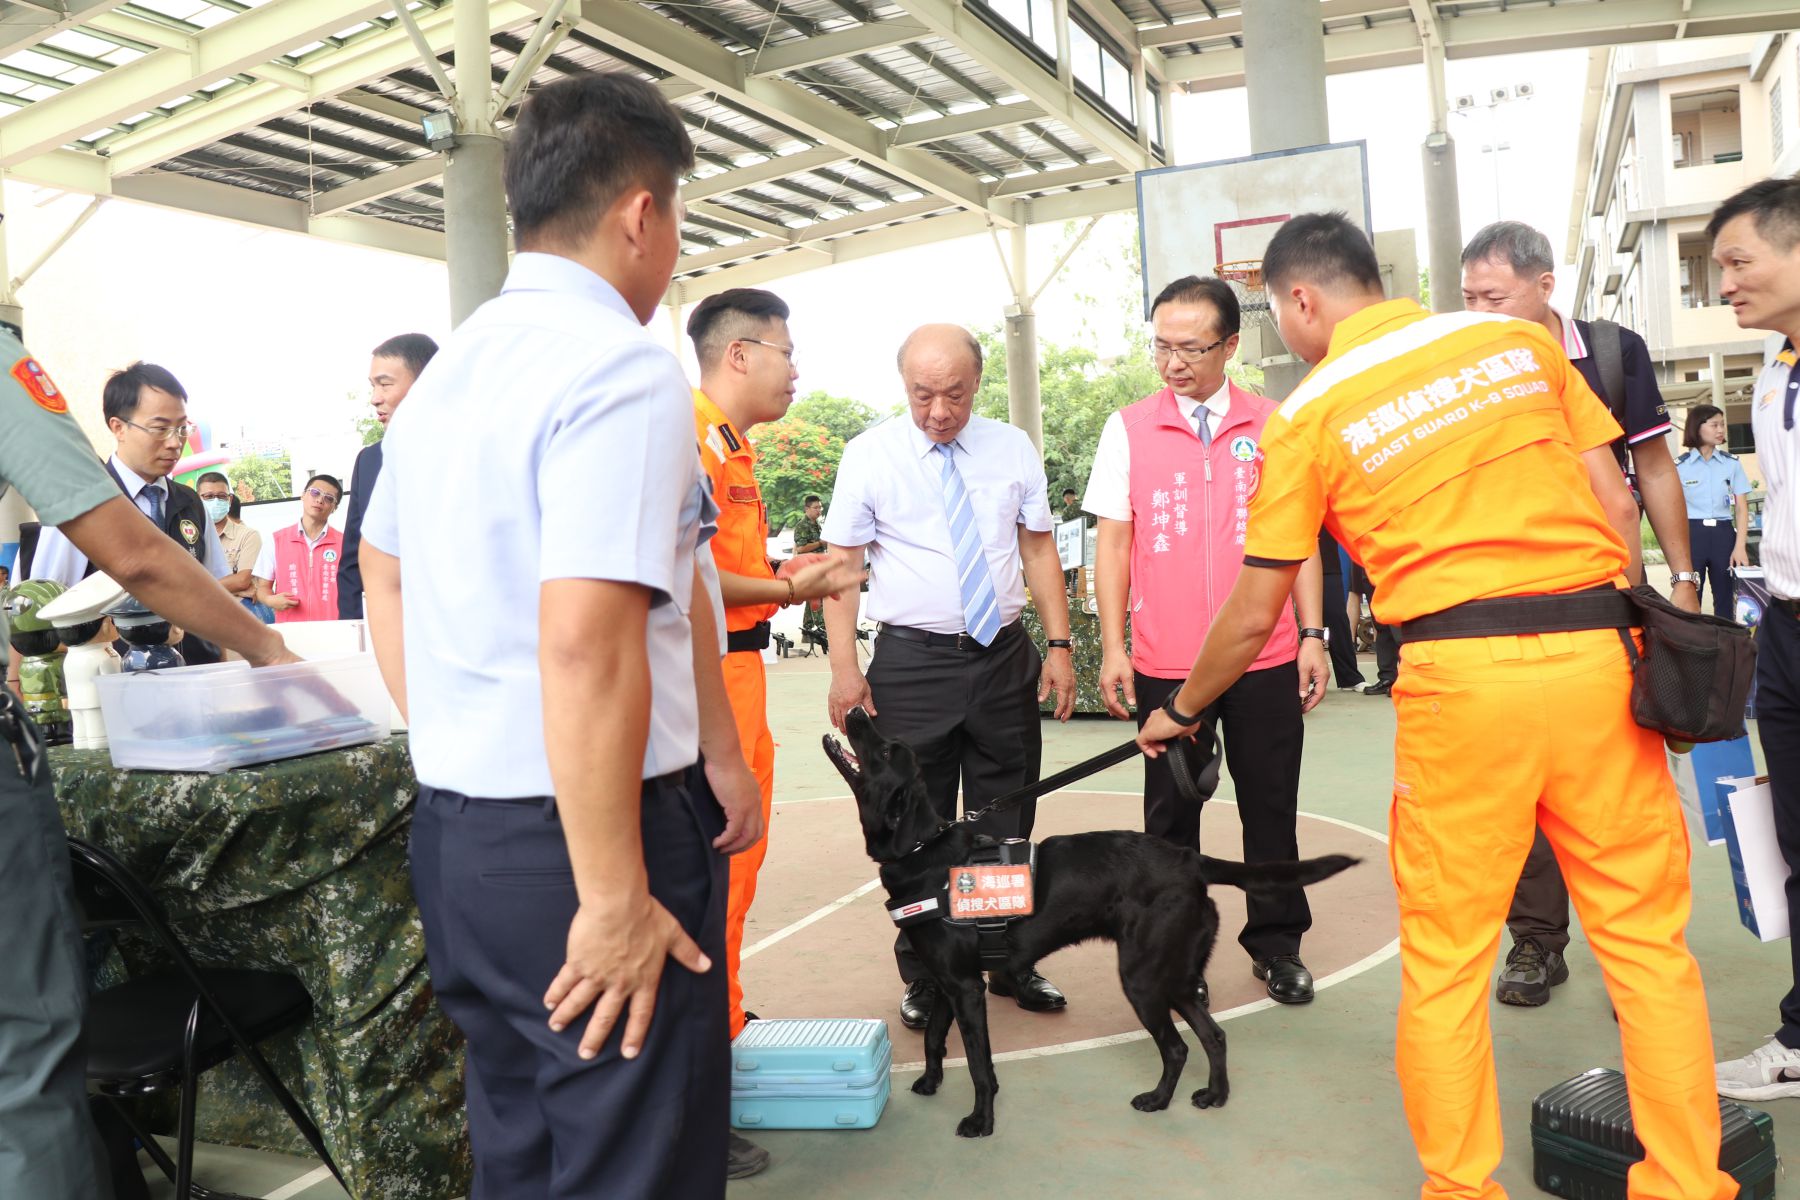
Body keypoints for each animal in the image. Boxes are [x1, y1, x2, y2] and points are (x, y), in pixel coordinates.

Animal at [824, 708, 1353, 1144]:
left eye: (885, 751)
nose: (856, 711)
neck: (922, 852)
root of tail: (1189, 859)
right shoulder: (946, 982)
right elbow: (934, 1039)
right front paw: (930, 1083)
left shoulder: (967, 988)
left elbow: (978, 1065)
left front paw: (981, 1121)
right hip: (1175, 975)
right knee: (1213, 1036)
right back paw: (1214, 1096)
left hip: (1142, 978)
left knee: (1177, 1047)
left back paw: (1158, 1100)